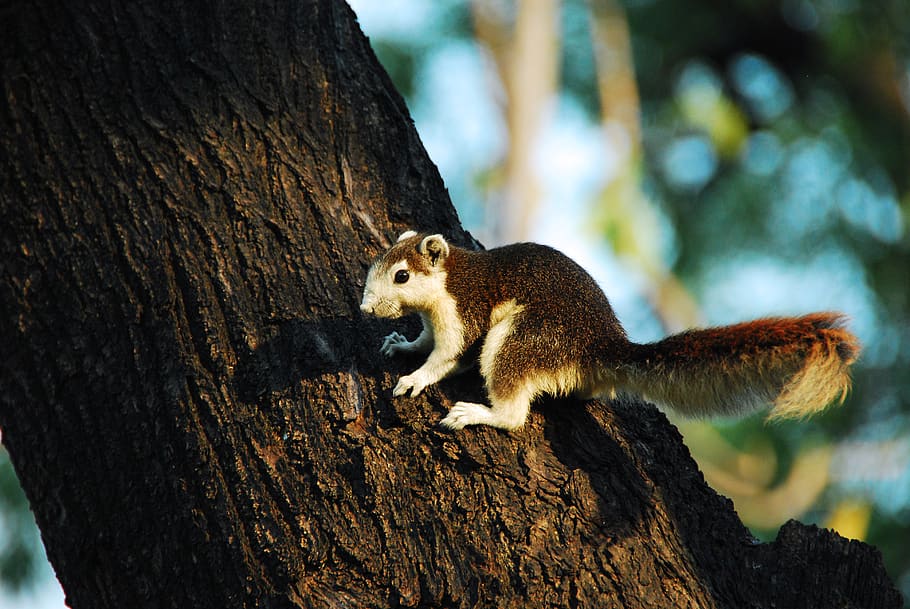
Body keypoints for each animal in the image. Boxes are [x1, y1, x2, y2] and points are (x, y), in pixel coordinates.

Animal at [360, 230, 861, 431]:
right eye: (376, 262)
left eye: (402, 275)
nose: (365, 306)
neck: (449, 281)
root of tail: (601, 346)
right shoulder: (434, 321)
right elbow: (426, 342)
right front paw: (401, 344)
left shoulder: (465, 314)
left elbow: (450, 356)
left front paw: (415, 378)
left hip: (523, 340)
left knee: (514, 412)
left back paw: (478, 414)